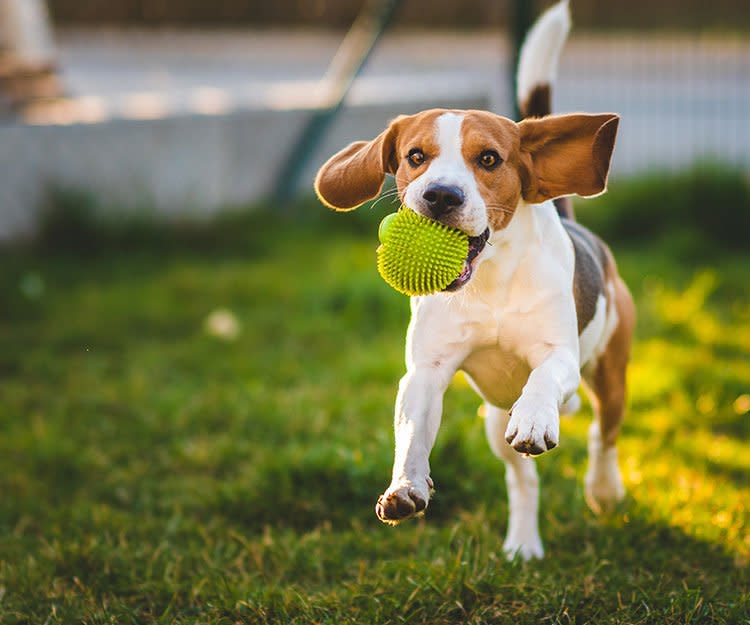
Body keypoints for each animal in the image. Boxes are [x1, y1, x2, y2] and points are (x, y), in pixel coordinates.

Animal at [312, 0, 636, 556]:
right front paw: (405, 485)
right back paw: (524, 543)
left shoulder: (560, 355)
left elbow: (545, 377)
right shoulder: (426, 372)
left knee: (603, 435)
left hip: (610, 372)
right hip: (493, 421)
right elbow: (411, 431)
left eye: (488, 159)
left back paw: (603, 488)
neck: (491, 284)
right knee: (522, 479)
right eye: (415, 157)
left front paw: (536, 417)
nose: (440, 195)